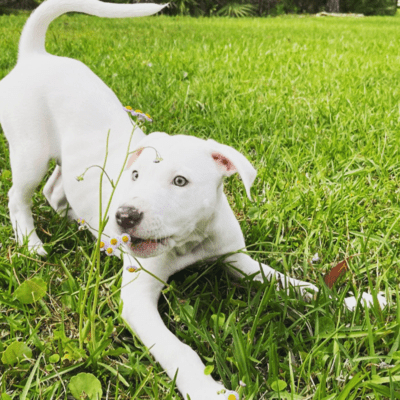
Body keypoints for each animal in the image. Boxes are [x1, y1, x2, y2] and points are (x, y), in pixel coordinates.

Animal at [0, 0, 388, 400]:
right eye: (135, 176)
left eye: (180, 182)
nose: (124, 217)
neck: (192, 241)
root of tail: (35, 55)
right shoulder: (138, 298)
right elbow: (177, 349)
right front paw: (208, 389)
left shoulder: (238, 260)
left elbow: (294, 285)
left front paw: (357, 302)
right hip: (30, 153)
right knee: (19, 197)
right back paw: (32, 242)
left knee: (55, 188)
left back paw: (78, 222)